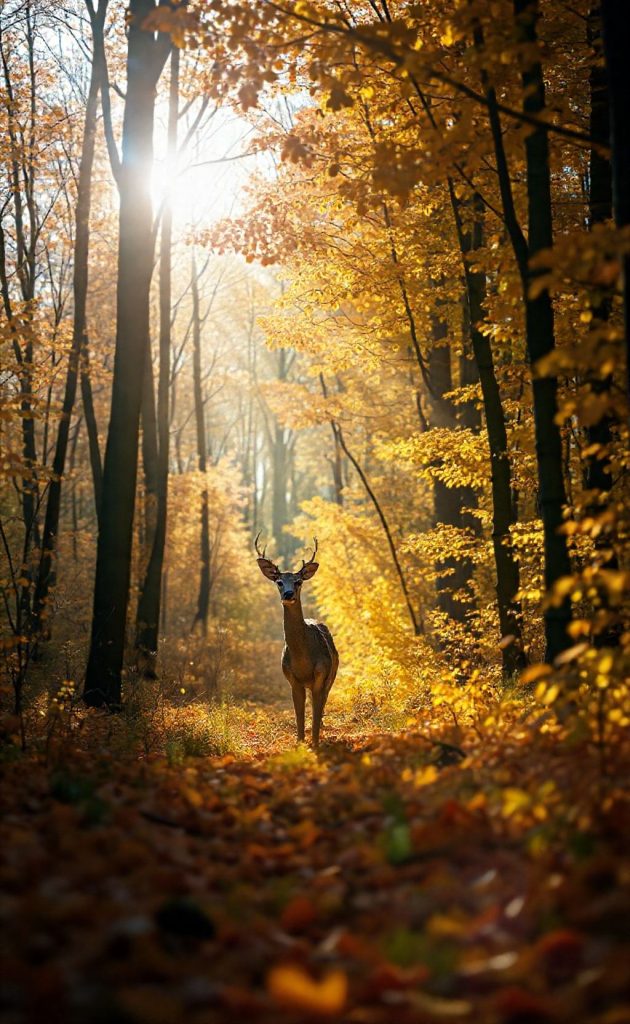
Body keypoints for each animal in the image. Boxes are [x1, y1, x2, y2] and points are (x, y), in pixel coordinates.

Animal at [255, 533, 339, 748]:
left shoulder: (321, 674)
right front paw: (300, 742)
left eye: (299, 581)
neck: (303, 662)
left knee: (322, 703)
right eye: (278, 581)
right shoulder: (292, 679)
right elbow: (298, 714)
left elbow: (315, 712)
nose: (288, 594)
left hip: (332, 675)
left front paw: (315, 743)